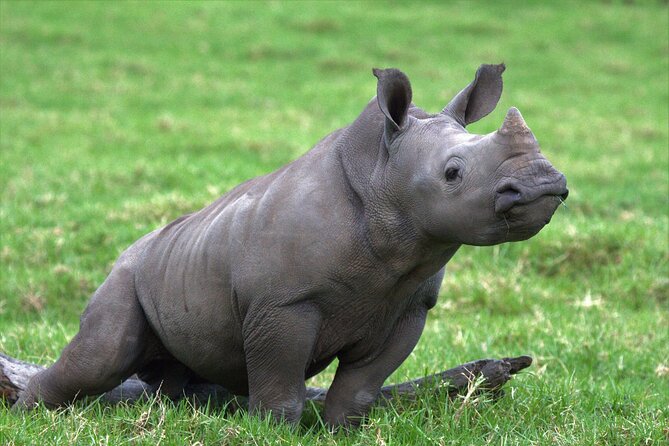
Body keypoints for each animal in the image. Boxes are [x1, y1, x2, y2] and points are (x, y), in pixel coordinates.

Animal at [16, 64, 568, 428]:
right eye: (453, 174)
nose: (544, 184)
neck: (381, 179)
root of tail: (129, 252)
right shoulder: (282, 303)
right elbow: (280, 378)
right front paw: (274, 432)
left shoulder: (408, 305)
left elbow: (362, 384)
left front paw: (342, 431)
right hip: (125, 274)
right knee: (102, 356)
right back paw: (27, 415)